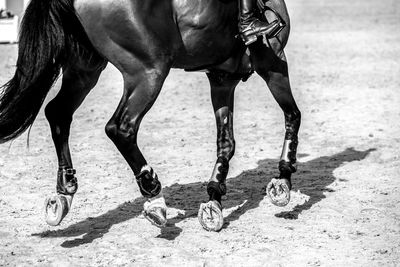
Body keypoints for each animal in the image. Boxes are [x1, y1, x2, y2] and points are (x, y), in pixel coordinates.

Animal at [0, 0, 300, 231]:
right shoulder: (272, 62)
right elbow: (293, 115)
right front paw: (283, 181)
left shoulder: (222, 78)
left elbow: (226, 143)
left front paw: (214, 200)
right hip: (148, 71)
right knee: (120, 128)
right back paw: (153, 193)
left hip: (85, 69)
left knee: (58, 114)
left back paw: (64, 192)